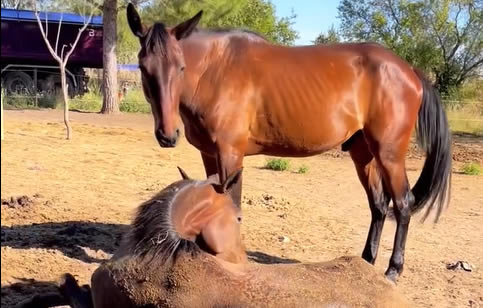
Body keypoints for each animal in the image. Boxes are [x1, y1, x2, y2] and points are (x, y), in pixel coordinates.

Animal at [125, 3, 454, 282]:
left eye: (181, 67)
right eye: (143, 67)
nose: (168, 135)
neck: (215, 70)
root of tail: (410, 71)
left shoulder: (230, 154)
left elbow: (232, 203)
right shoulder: (209, 153)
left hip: (389, 154)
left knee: (403, 204)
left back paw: (393, 270)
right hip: (363, 154)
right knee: (378, 206)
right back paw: (365, 262)